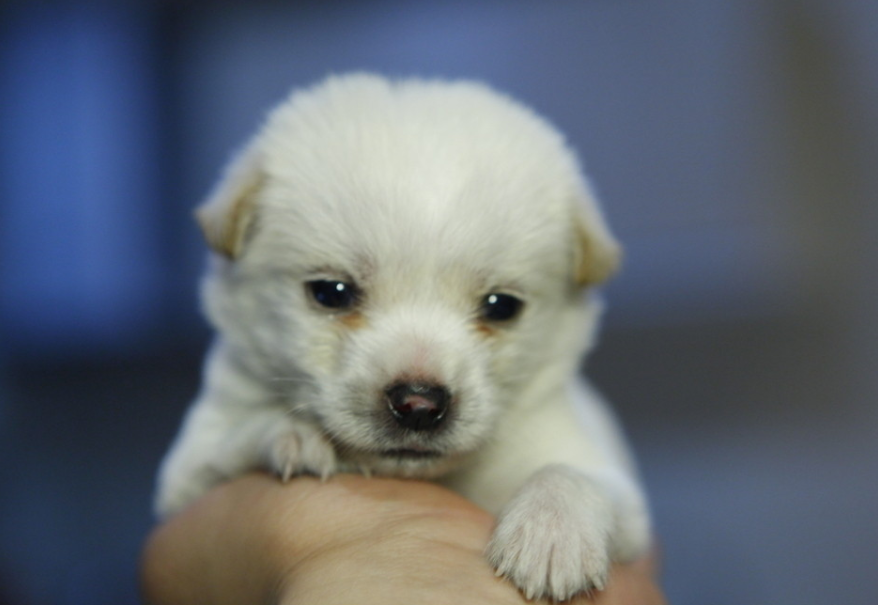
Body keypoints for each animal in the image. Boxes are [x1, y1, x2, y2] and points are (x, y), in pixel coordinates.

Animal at [156, 74, 652, 600]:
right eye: (331, 293)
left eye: (501, 306)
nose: (419, 405)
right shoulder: (183, 477)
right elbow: (230, 441)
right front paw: (290, 433)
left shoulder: (602, 476)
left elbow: (572, 473)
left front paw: (552, 530)